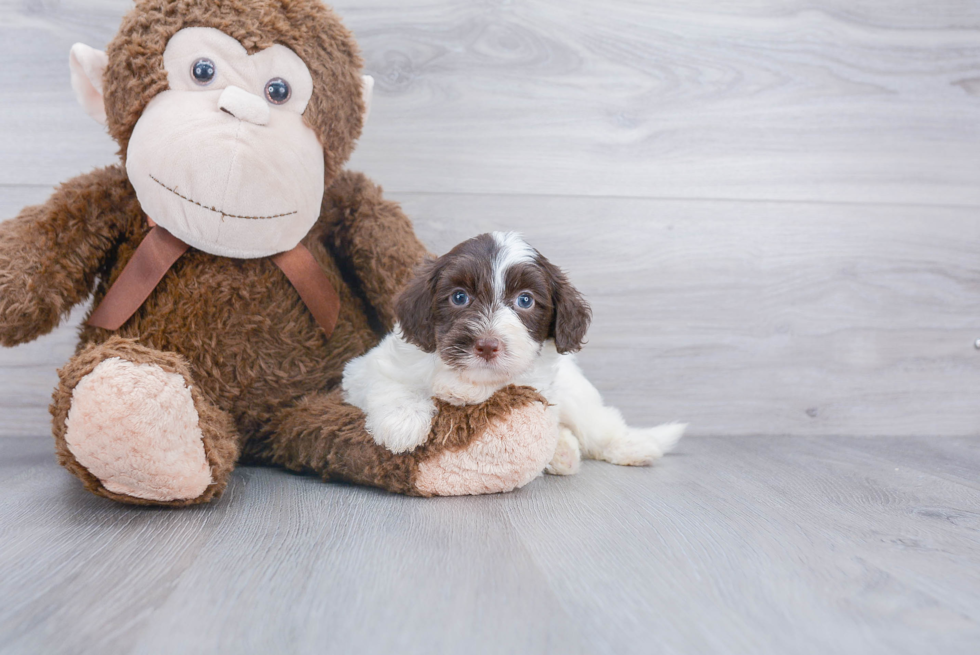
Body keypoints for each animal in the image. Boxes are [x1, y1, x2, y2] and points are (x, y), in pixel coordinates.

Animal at [340, 233, 684, 474]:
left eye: (525, 300)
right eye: (459, 297)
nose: (487, 345)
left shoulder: (535, 383)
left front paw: (457, 389)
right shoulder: (366, 368)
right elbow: (390, 383)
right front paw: (403, 422)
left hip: (575, 393)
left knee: (598, 424)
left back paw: (630, 446)